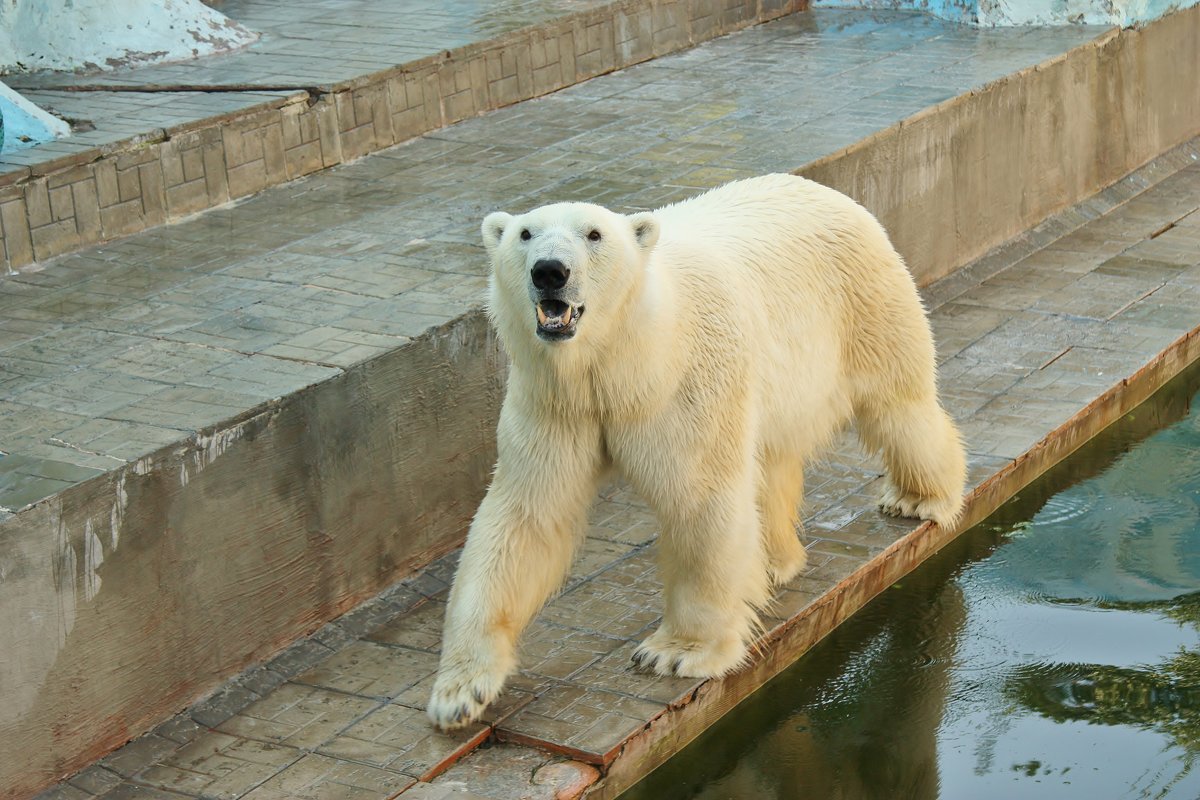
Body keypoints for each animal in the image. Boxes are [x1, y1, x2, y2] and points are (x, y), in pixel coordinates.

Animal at [424, 175, 964, 734]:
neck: (621, 356)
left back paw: (920, 498)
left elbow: (701, 500)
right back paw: (772, 563)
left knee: (898, 403)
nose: (550, 271)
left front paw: (675, 652)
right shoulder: (555, 403)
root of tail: (826, 189)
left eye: (594, 234)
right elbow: (526, 517)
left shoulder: (687, 381)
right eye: (525, 234)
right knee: (769, 460)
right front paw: (460, 692)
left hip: (863, 302)